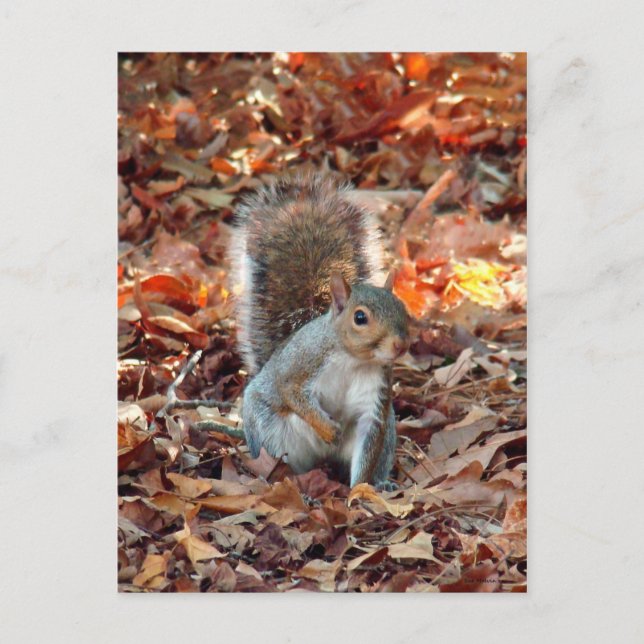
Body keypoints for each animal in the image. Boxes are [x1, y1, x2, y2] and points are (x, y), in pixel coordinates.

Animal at [229, 173, 410, 487]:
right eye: (360, 317)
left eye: (403, 308)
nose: (400, 345)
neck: (353, 360)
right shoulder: (302, 363)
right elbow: (293, 393)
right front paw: (327, 429)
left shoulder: (374, 405)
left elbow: (366, 450)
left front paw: (361, 491)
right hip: (269, 430)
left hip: (388, 432)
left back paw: (381, 483)